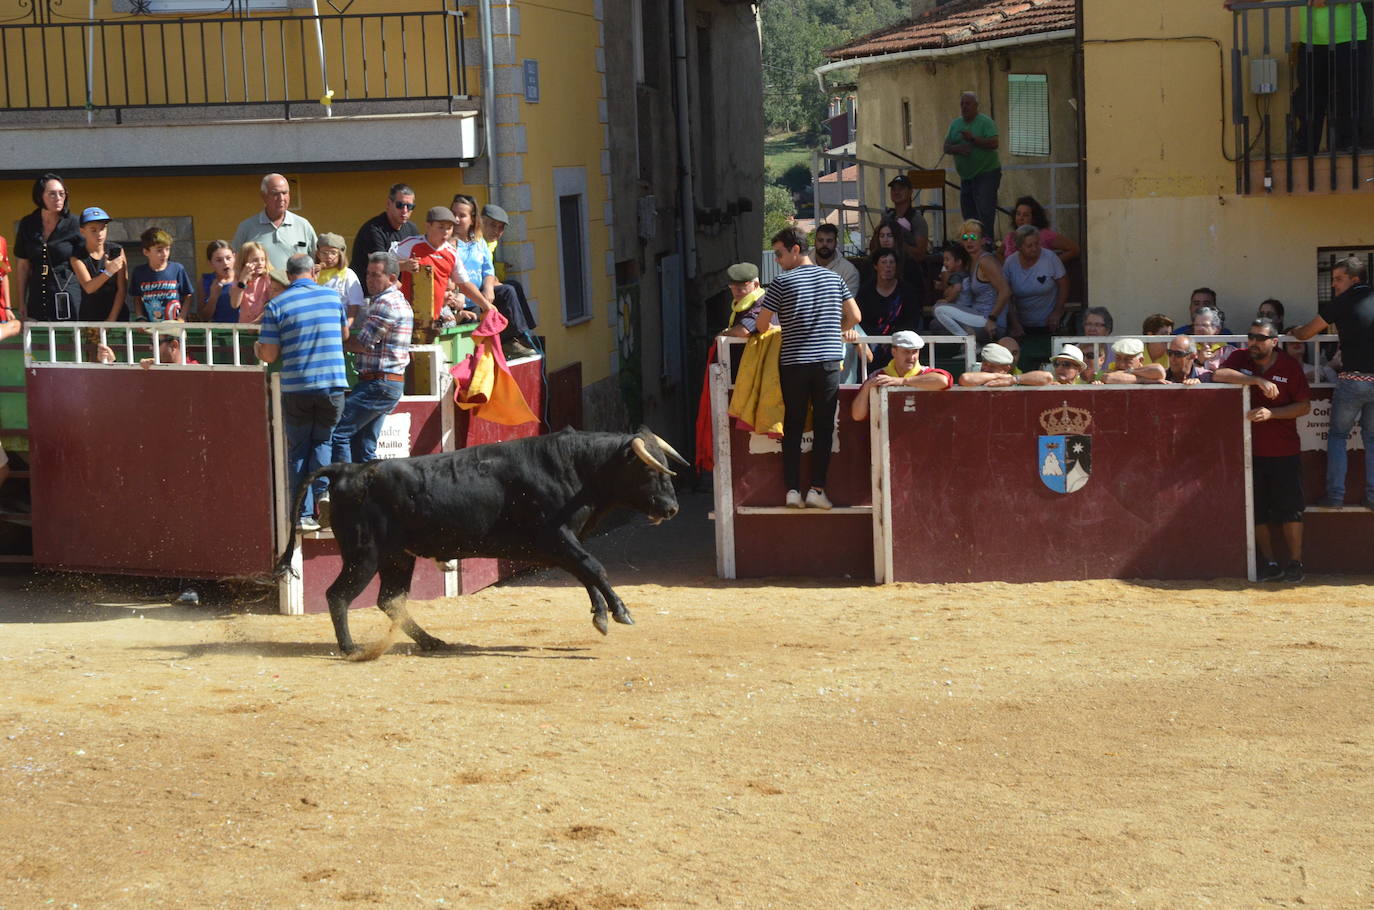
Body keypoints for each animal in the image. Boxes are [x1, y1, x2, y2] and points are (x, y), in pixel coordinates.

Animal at [270, 431, 684, 659]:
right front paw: (620, 612)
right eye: (649, 469)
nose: (672, 508)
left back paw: (433, 641)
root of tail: (347, 470)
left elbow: (586, 571)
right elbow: (594, 567)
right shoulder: (555, 537)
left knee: (390, 599)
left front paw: (600, 615)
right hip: (364, 555)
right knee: (339, 595)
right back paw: (351, 649)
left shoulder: (558, 545)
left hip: (397, 558)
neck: (575, 467)